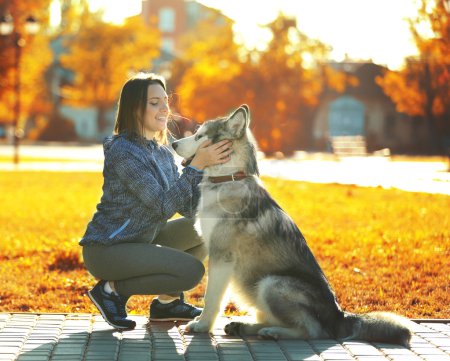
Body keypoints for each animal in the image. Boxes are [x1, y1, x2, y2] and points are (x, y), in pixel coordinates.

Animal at [171, 105, 414, 346]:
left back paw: (272, 332)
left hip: (272, 284)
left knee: (312, 331)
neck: (229, 178)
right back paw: (244, 326)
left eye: (199, 135)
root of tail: (339, 316)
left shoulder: (222, 255)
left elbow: (211, 297)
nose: (173, 144)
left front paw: (202, 325)